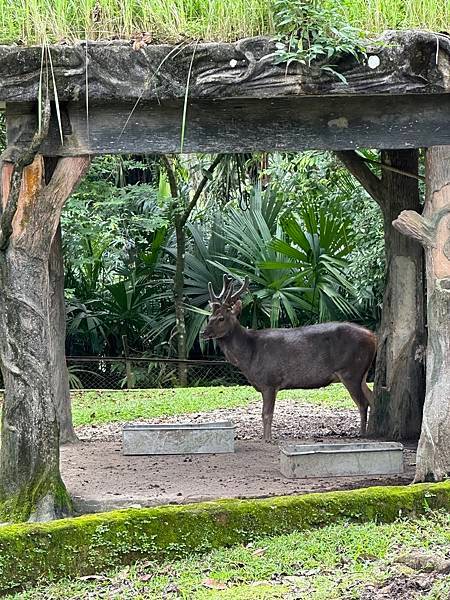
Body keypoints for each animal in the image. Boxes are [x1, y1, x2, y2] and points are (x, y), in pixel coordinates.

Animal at [201, 276, 376, 440]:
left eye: (221, 318)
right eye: (209, 317)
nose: (203, 333)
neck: (249, 354)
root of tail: (373, 337)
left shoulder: (270, 381)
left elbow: (267, 414)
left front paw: (268, 439)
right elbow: (264, 414)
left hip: (351, 370)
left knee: (363, 402)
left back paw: (362, 433)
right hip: (361, 373)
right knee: (372, 397)